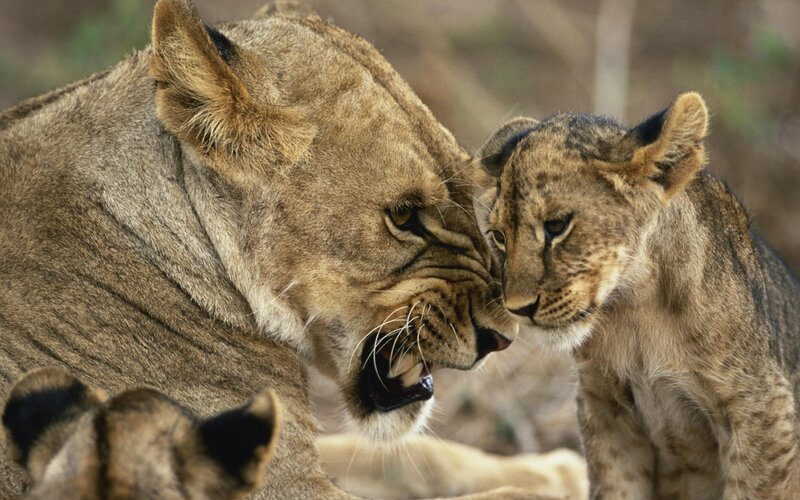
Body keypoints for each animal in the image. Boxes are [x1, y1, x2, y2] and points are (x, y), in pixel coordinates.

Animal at [473, 92, 800, 498]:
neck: (636, 308)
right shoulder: (606, 410)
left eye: (556, 225)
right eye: (499, 237)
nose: (518, 308)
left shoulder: (761, 408)